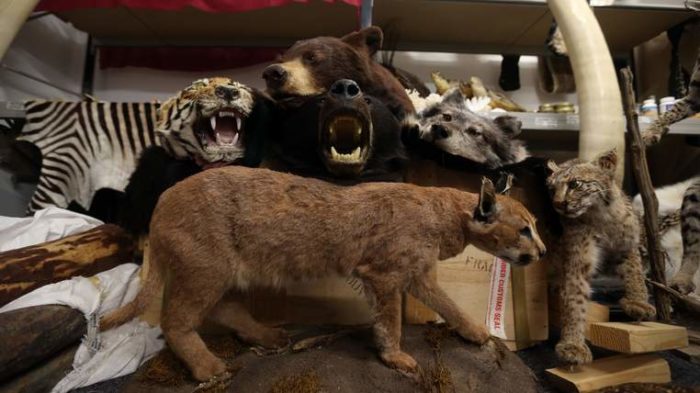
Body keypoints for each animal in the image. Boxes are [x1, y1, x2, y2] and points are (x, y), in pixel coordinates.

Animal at [100, 165, 548, 380]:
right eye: (525, 229)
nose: (543, 250)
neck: (446, 215)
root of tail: (161, 200)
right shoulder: (384, 275)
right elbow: (391, 320)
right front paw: (395, 357)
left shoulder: (419, 274)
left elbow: (448, 304)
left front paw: (474, 331)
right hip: (205, 268)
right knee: (175, 321)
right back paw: (209, 368)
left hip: (221, 271)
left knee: (221, 309)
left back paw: (268, 336)